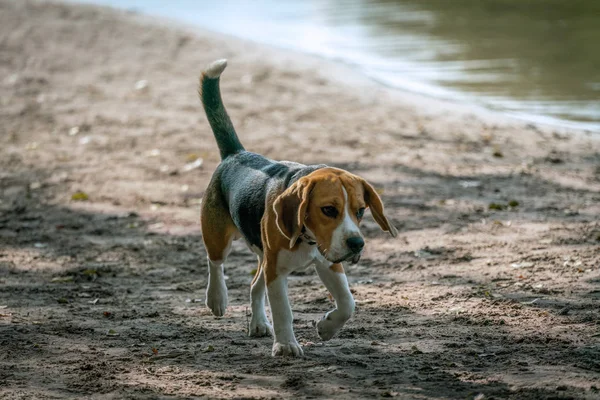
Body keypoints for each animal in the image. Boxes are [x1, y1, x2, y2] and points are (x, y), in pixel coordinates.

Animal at [199, 58, 398, 356]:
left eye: (361, 210)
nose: (356, 245)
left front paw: (327, 327)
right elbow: (283, 310)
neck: (308, 239)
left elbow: (347, 303)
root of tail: (237, 154)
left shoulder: (328, 263)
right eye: (328, 210)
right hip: (219, 236)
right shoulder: (277, 271)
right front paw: (285, 345)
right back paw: (217, 298)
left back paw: (259, 323)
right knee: (215, 262)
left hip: (264, 258)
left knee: (254, 286)